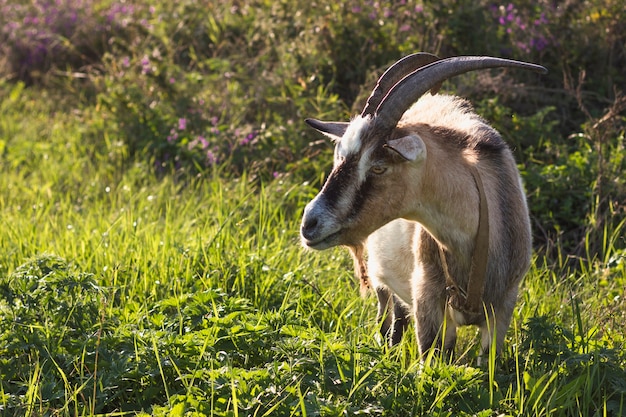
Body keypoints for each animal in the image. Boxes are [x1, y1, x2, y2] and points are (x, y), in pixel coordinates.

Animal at [300, 53, 544, 356]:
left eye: (379, 167)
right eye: (339, 158)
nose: (309, 223)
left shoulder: (503, 307)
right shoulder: (426, 298)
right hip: (383, 280)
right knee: (389, 322)